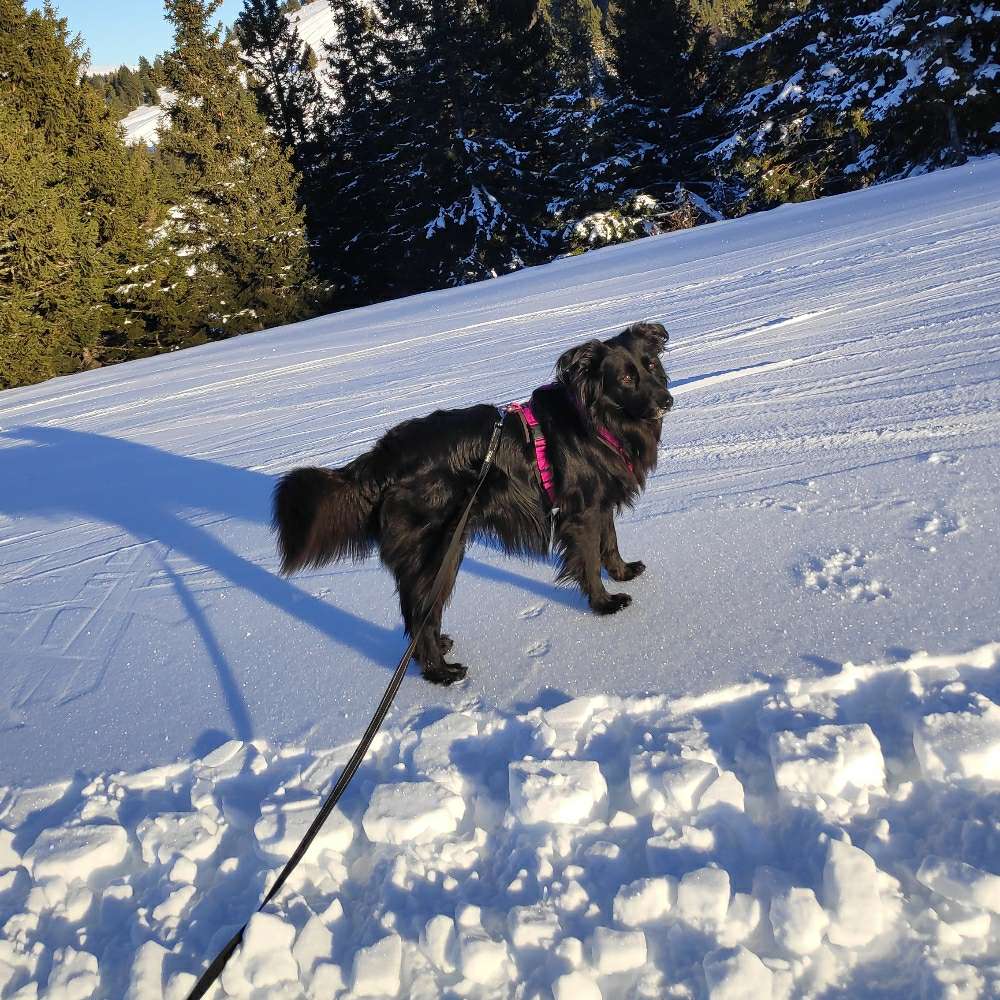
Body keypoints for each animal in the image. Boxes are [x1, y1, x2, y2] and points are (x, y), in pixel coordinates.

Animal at [276, 324, 672, 684]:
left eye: (651, 365)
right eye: (626, 378)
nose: (667, 400)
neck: (598, 420)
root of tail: (382, 460)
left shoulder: (599, 503)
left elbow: (610, 542)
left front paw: (623, 571)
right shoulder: (582, 511)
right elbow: (589, 561)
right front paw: (605, 604)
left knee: (419, 615)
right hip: (438, 553)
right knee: (420, 614)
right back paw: (440, 672)